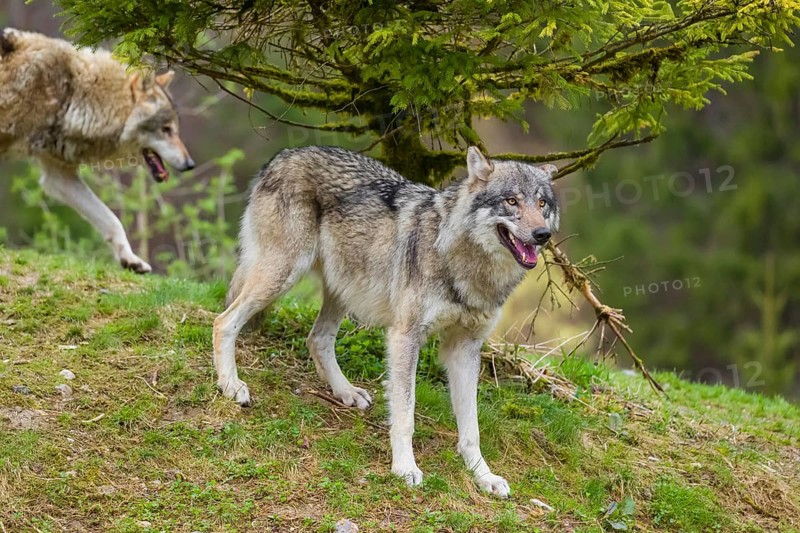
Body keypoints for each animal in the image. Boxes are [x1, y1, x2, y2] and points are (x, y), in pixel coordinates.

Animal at [0, 28, 195, 273]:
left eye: (175, 130)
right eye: (166, 130)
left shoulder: (60, 176)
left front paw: (130, 260)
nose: (190, 164)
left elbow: (112, 220)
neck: (72, 95)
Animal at [214, 146, 559, 497]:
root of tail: (282, 155)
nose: (542, 235)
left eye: (542, 203)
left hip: (344, 288)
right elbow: (405, 414)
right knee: (223, 321)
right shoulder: (405, 336)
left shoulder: (464, 347)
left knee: (317, 339)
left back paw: (346, 392)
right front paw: (405, 468)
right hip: (283, 275)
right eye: (512, 201)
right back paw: (232, 386)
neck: (460, 261)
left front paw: (484, 476)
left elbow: (471, 428)